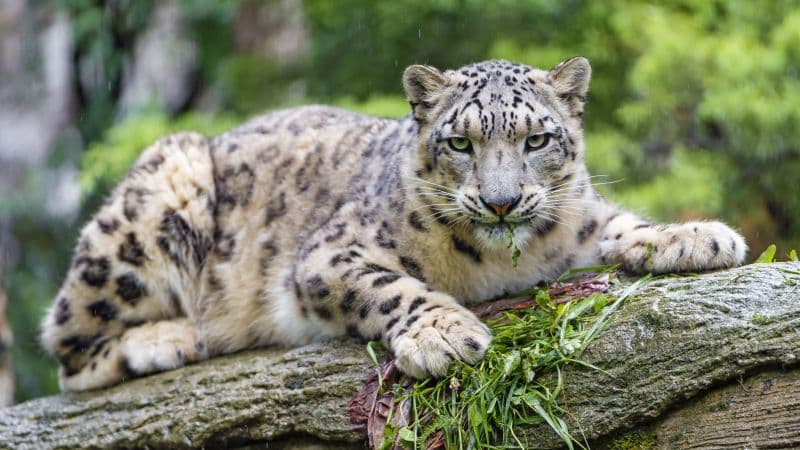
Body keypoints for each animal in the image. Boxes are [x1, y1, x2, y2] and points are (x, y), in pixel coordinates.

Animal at [41, 57, 747, 391]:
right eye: (460, 142)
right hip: (151, 208)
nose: (501, 203)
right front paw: (444, 334)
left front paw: (696, 236)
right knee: (66, 348)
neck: (499, 264)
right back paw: (168, 339)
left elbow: (621, 226)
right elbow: (389, 286)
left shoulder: (580, 223)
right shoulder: (329, 256)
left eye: (538, 139)